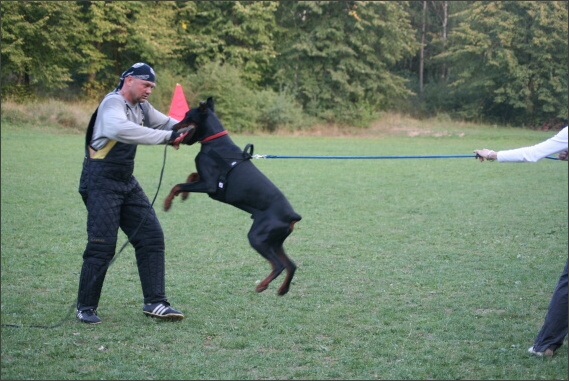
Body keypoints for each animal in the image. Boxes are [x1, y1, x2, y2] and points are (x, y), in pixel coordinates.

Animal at [164, 96, 302, 296]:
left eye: (187, 116)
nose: (173, 128)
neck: (214, 143)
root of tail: (292, 216)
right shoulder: (206, 180)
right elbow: (190, 176)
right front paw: (184, 196)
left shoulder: (209, 184)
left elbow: (177, 185)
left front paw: (168, 203)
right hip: (275, 241)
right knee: (291, 265)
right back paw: (282, 290)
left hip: (258, 237)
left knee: (278, 265)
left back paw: (262, 285)